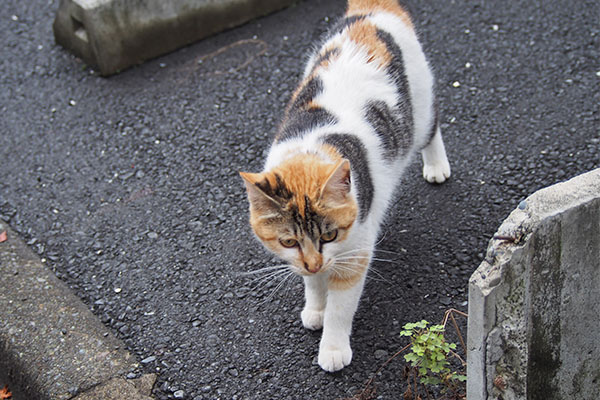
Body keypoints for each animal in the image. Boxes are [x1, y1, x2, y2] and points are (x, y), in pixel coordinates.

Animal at [239, 0, 450, 372]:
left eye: (330, 235)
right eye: (288, 241)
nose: (314, 262)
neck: (313, 145)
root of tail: (371, 11)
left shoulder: (355, 253)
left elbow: (341, 307)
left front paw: (333, 348)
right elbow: (312, 283)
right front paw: (314, 308)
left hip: (421, 110)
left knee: (433, 125)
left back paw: (437, 166)